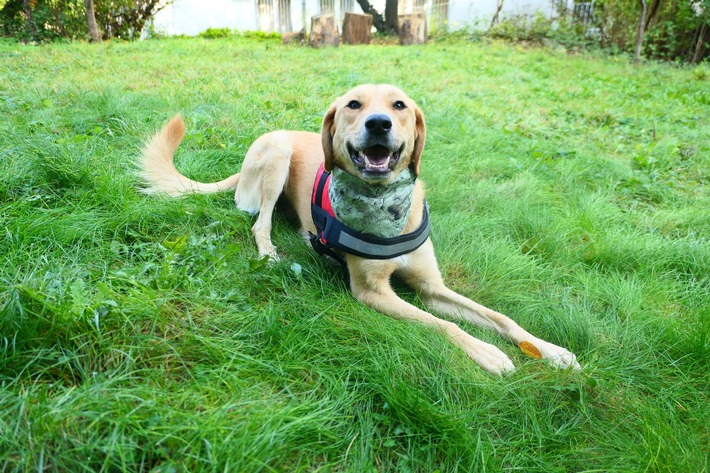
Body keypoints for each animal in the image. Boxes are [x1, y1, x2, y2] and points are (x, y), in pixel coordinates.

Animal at [136, 83, 580, 374]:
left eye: (400, 106)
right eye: (353, 104)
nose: (379, 123)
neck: (385, 209)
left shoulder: (432, 287)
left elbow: (499, 317)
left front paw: (551, 351)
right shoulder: (372, 292)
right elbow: (443, 324)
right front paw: (487, 352)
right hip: (276, 156)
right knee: (259, 224)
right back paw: (271, 252)